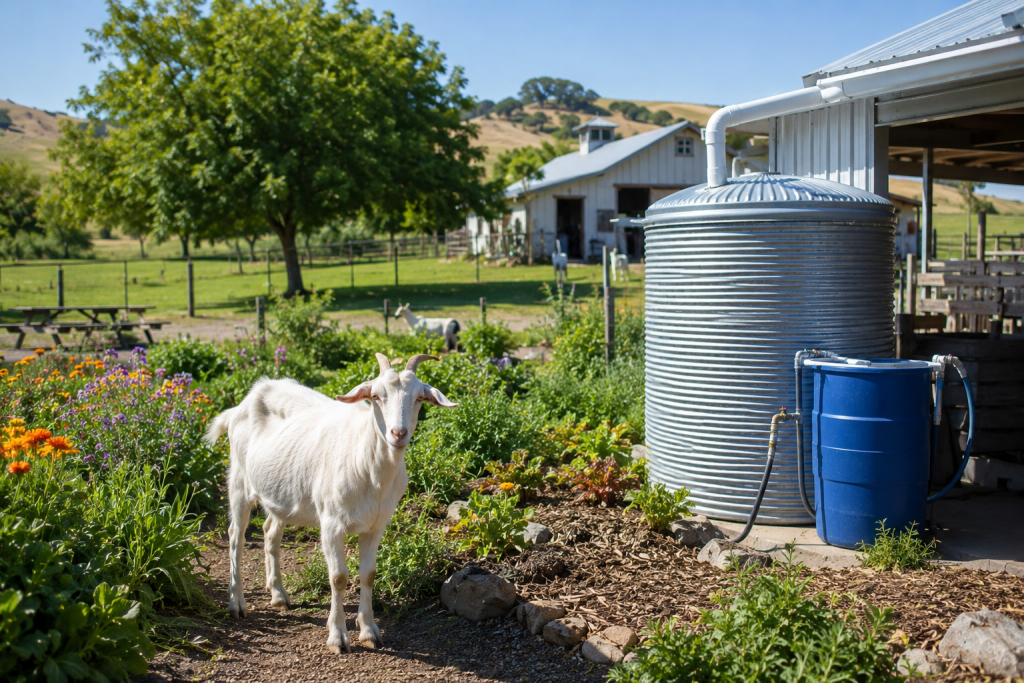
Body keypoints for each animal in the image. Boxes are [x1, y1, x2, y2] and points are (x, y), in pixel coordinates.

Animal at [205, 353, 456, 653]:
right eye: (375, 396)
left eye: (419, 398)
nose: (398, 433)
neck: (368, 466)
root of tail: (244, 401)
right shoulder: (331, 523)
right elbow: (338, 577)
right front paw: (338, 637)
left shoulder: (376, 525)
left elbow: (369, 574)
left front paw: (369, 632)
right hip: (239, 479)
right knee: (236, 536)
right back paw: (236, 603)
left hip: (281, 492)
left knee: (270, 532)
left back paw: (278, 594)